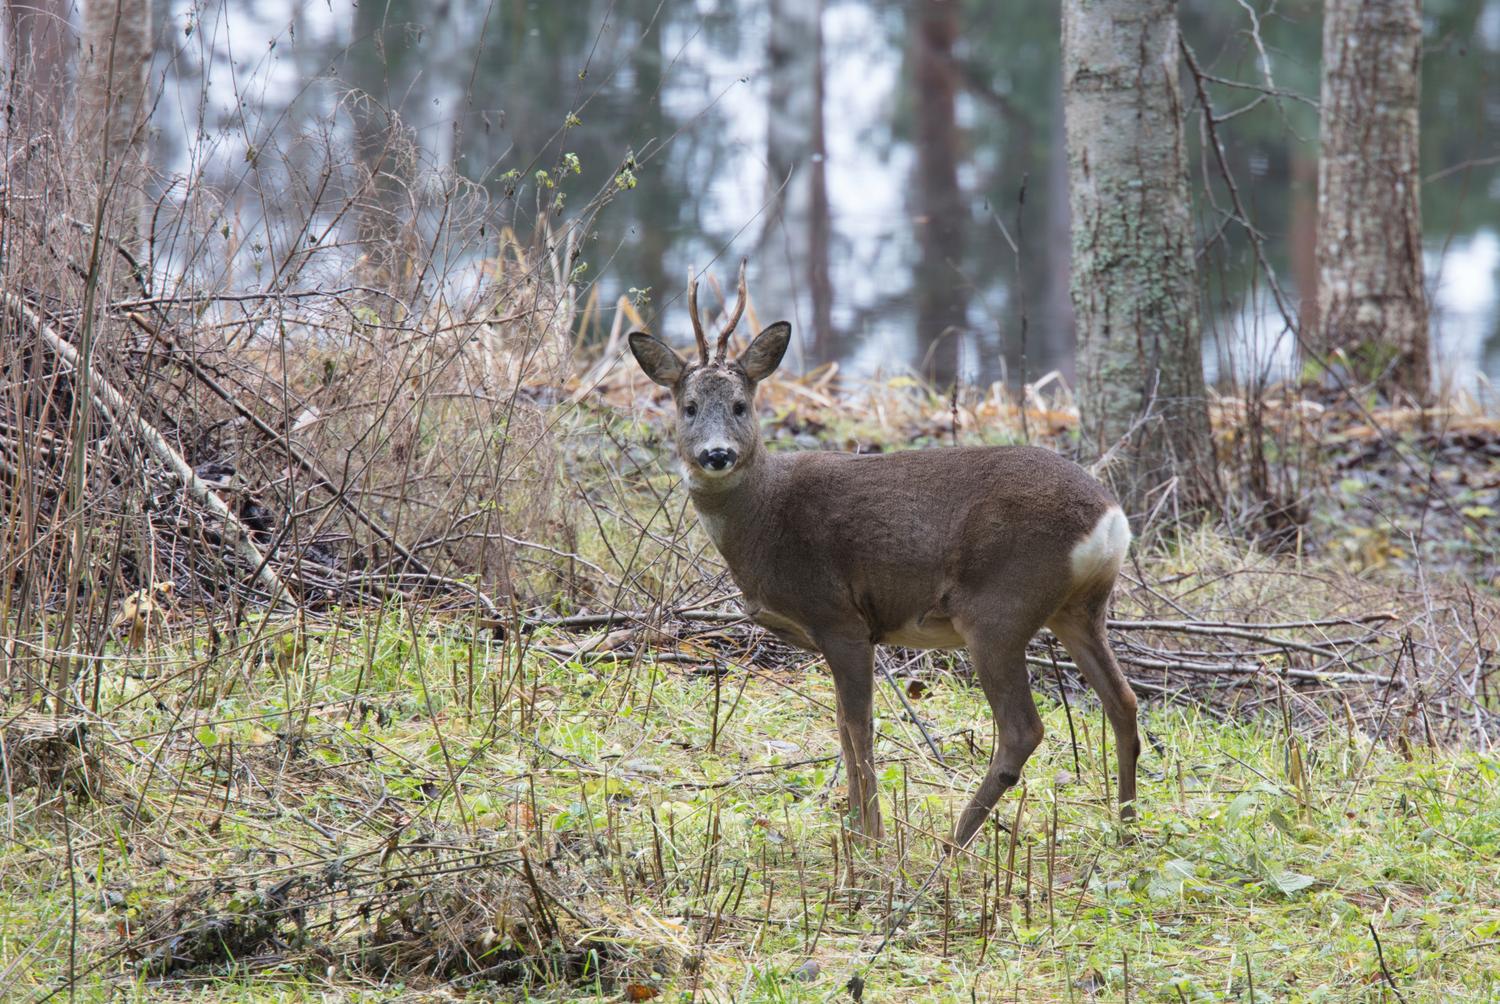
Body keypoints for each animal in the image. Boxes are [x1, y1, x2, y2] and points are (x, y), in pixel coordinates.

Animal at [630, 261, 1134, 846]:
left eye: (740, 405)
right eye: (688, 407)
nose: (716, 454)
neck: (765, 517)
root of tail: (1109, 518)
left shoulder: (839, 617)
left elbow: (859, 726)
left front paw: (869, 834)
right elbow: (843, 727)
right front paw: (853, 825)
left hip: (1000, 607)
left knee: (1022, 729)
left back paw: (953, 844)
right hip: (1078, 608)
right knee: (1123, 702)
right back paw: (1128, 827)